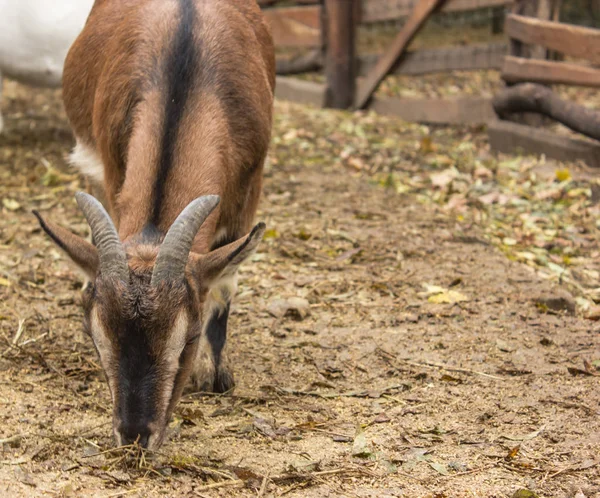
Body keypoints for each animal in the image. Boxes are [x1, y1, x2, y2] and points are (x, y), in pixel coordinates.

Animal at [35, 0, 274, 450]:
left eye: (188, 338)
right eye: (95, 336)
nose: (134, 434)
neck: (185, 81)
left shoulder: (248, 189)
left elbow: (225, 282)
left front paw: (213, 373)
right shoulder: (113, 168)